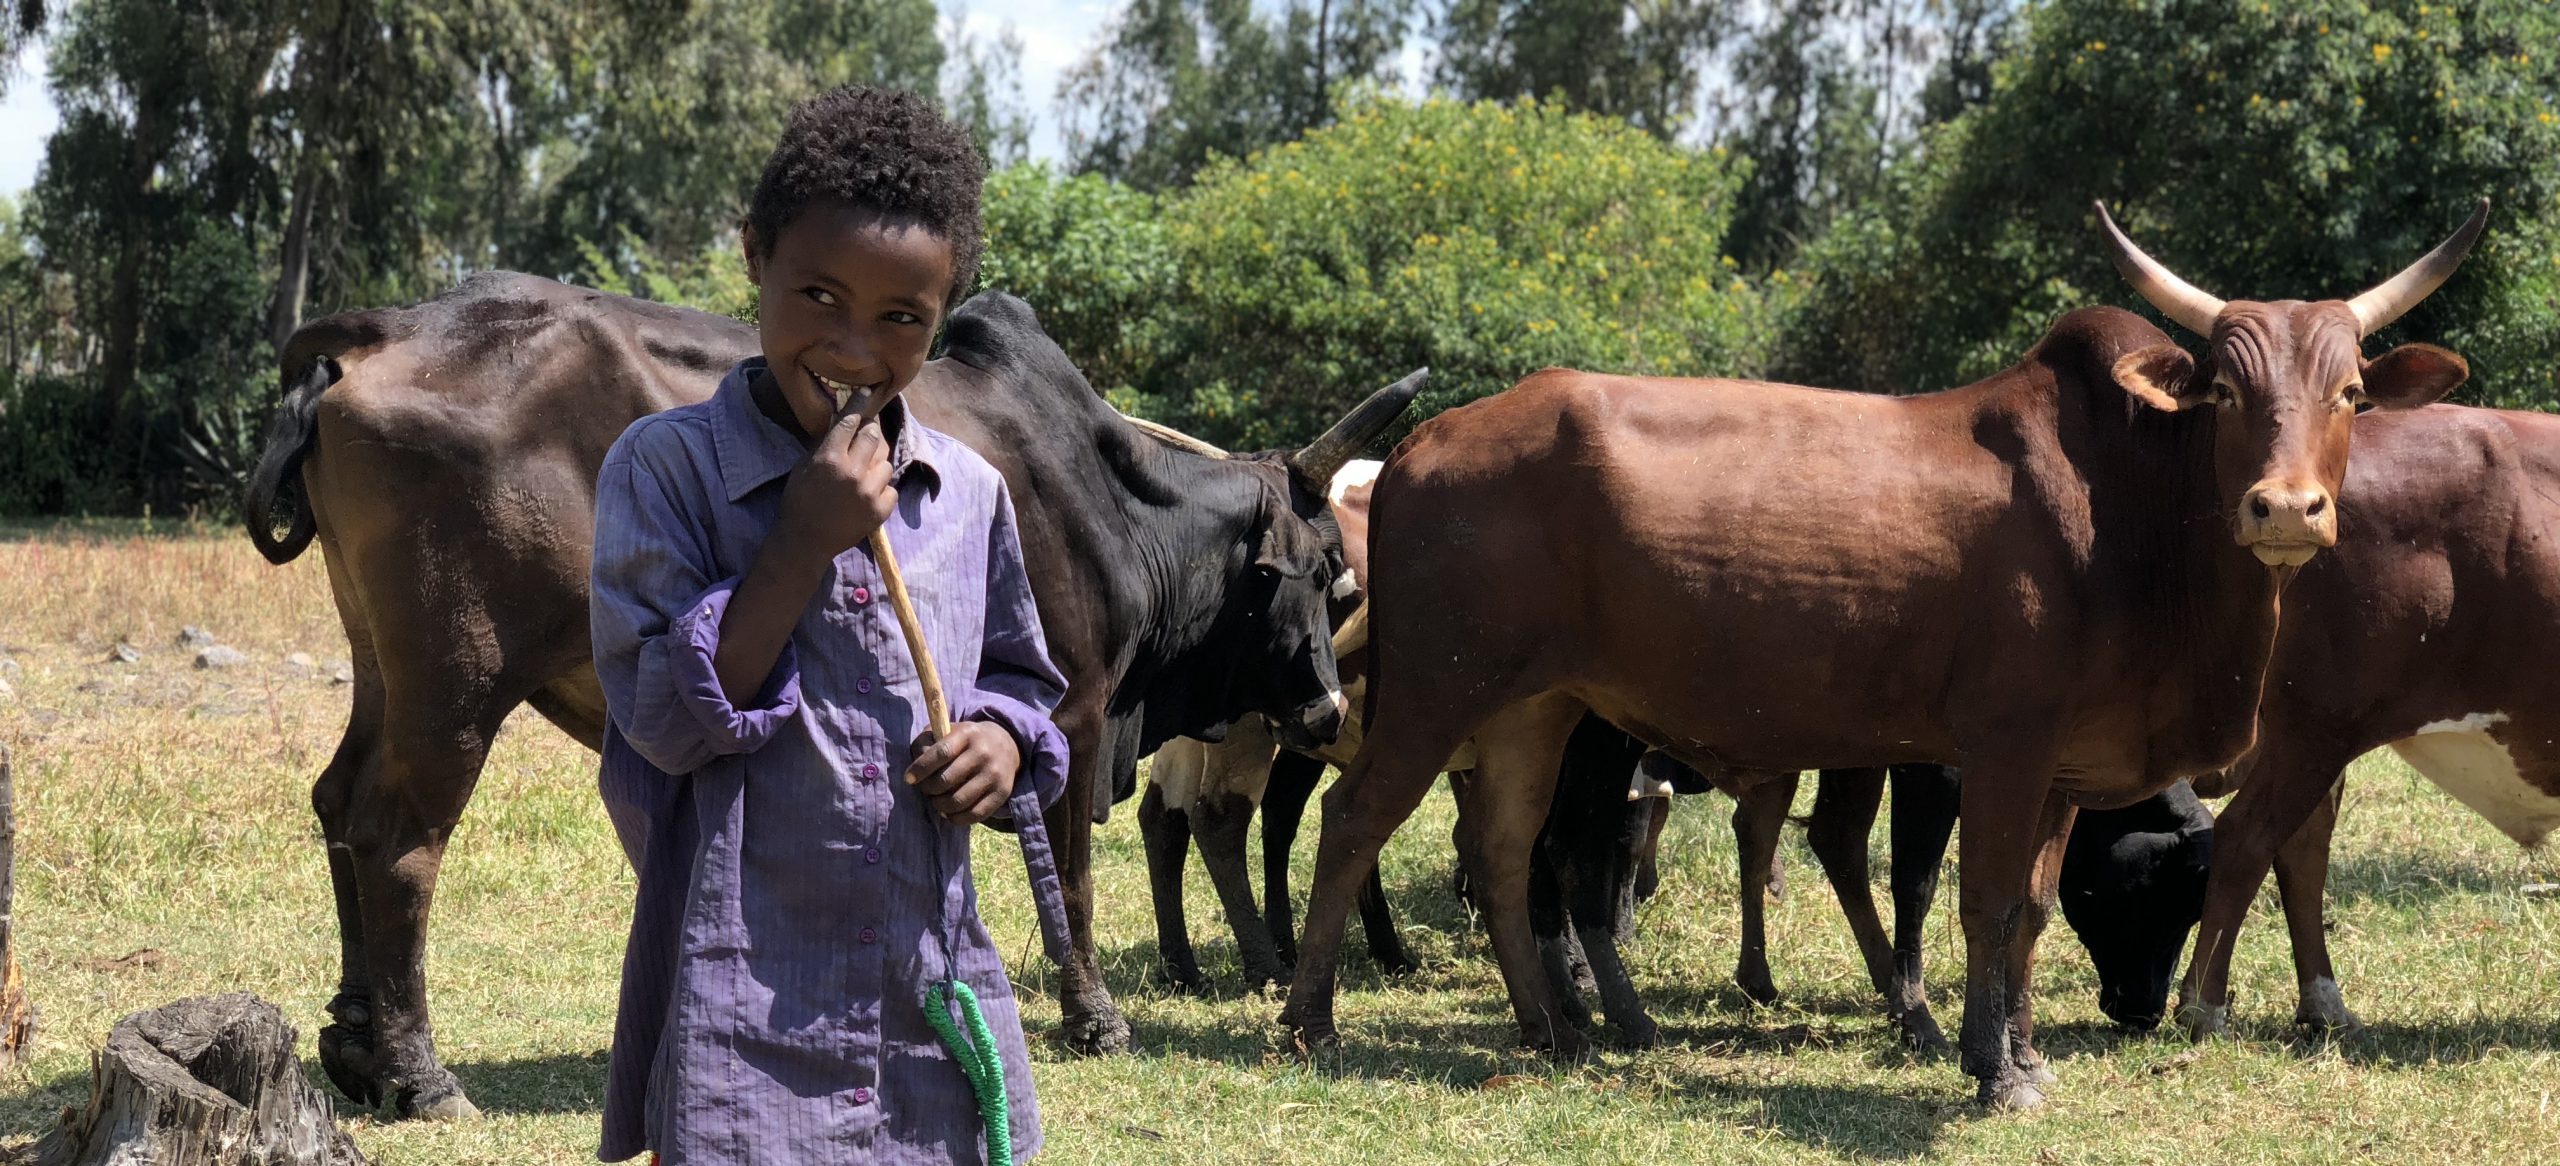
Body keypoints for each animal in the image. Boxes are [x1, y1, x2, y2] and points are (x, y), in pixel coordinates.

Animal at [1274, 205, 2478, 1107]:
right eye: (2226, 390)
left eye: (2350, 393)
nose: (2286, 508)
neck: (2123, 511)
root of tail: (1425, 441)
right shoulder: (1998, 747)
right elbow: (1981, 899)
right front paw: (1993, 1071)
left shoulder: (2062, 766)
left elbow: (2033, 904)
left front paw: (2021, 1048)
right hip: (1439, 689)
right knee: (1357, 819)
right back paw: (1310, 1020)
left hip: (1539, 707)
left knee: (1506, 845)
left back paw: (1549, 1029)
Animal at [2170, 404, 2560, 1040]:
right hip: (2316, 729)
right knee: (2246, 839)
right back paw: (2203, 1007)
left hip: (2313, 738)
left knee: (2301, 849)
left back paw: (2322, 1004)